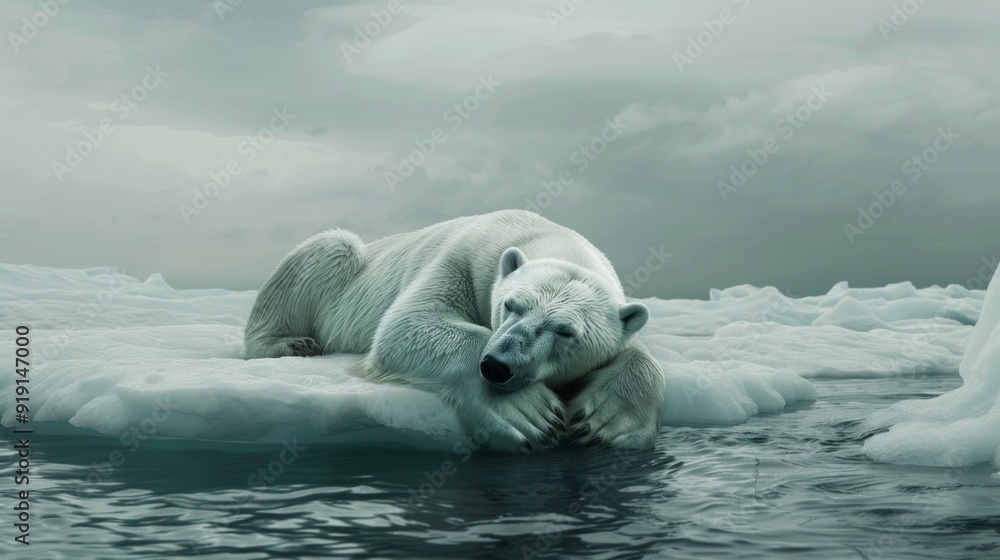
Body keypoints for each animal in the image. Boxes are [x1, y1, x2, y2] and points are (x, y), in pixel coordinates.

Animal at [242, 209, 665, 452]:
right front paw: (528, 414)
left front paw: (607, 423)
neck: (534, 234)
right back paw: (291, 343)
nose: (498, 366)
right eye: (511, 304)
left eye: (565, 331)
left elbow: (638, 354)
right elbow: (410, 324)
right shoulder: (461, 262)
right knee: (331, 247)